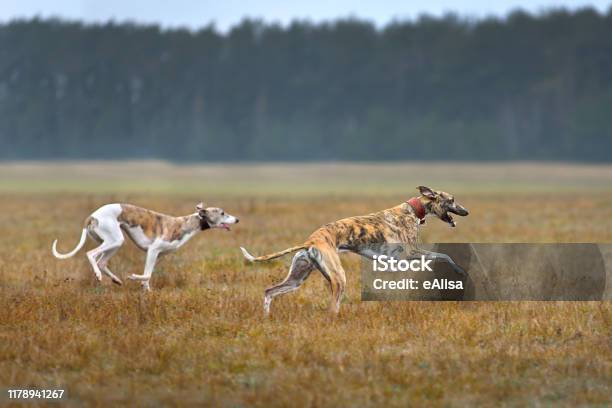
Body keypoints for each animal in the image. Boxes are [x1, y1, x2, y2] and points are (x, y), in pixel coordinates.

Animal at [52, 202, 239, 288]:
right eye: (222, 213)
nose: (237, 219)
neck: (184, 224)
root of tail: (91, 216)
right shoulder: (153, 250)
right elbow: (147, 274)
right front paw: (134, 277)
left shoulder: (159, 255)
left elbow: (149, 275)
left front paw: (146, 290)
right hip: (114, 240)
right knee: (91, 254)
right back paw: (99, 275)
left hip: (113, 242)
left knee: (101, 261)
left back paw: (115, 279)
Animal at [240, 186, 468, 314]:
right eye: (452, 199)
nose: (466, 211)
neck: (411, 210)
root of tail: (311, 241)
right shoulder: (412, 254)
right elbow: (444, 255)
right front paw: (460, 271)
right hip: (339, 278)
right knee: (332, 309)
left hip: (297, 278)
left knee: (269, 292)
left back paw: (266, 316)